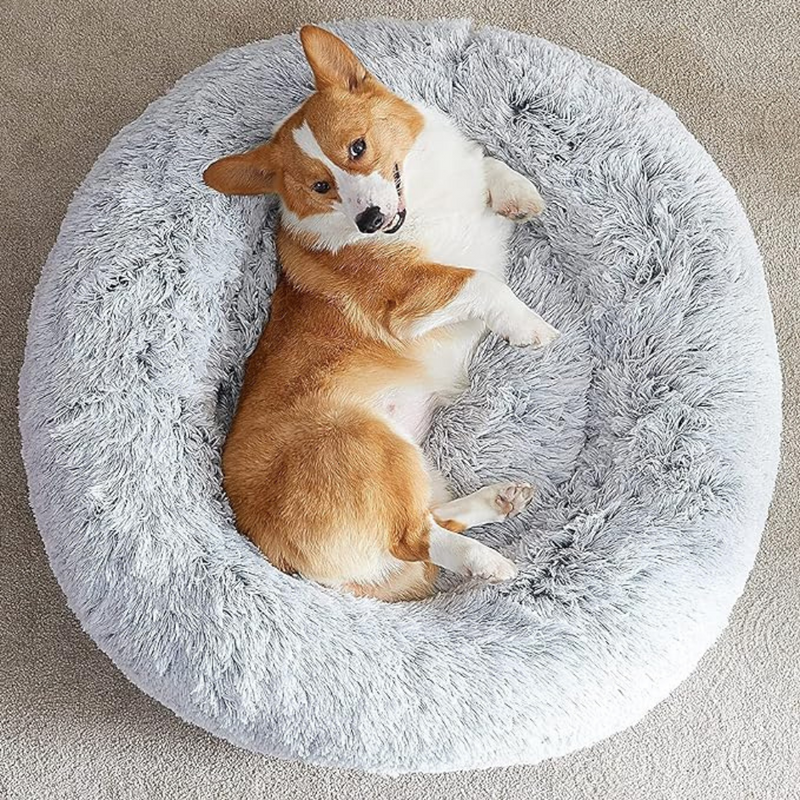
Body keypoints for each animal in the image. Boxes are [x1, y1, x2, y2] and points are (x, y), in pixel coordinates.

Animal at [203, 26, 560, 600]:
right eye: (320, 187)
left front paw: (518, 194)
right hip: (372, 447)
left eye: (358, 148)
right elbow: (482, 280)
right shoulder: (407, 298)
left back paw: (497, 501)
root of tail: (275, 552)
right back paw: (485, 562)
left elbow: (487, 162)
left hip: (410, 463)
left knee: (433, 518)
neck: (421, 201)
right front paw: (529, 327)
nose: (369, 220)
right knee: (414, 537)